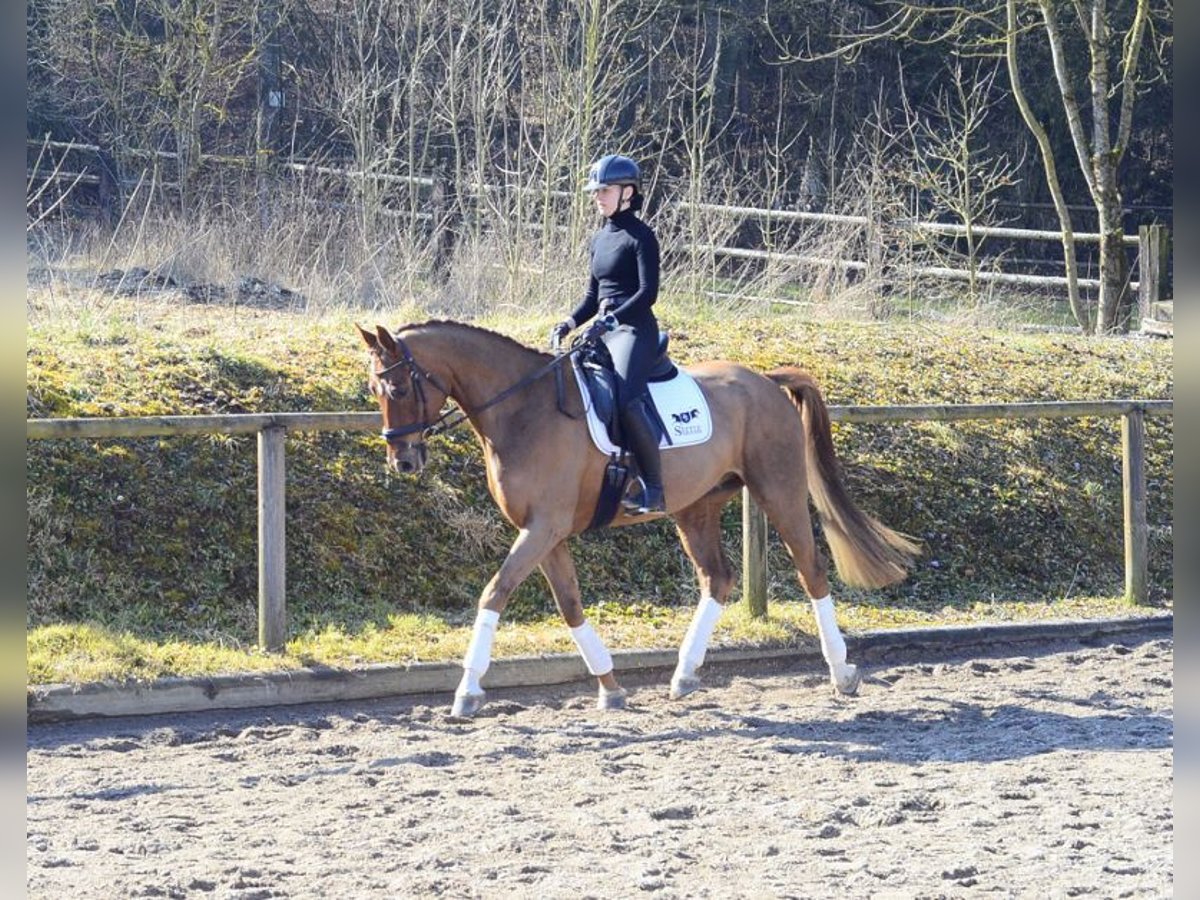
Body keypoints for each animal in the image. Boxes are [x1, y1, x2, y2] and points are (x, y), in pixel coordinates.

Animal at [355, 321, 916, 720]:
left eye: (399, 389)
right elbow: (570, 606)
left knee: (811, 570)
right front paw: (611, 687)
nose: (403, 462)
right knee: (718, 578)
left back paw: (842, 672)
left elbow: (494, 593)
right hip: (696, 507)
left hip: (778, 490)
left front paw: (468, 690)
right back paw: (685, 676)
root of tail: (765, 379)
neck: (521, 409)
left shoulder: (543, 528)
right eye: (374, 390)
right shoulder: (546, 534)